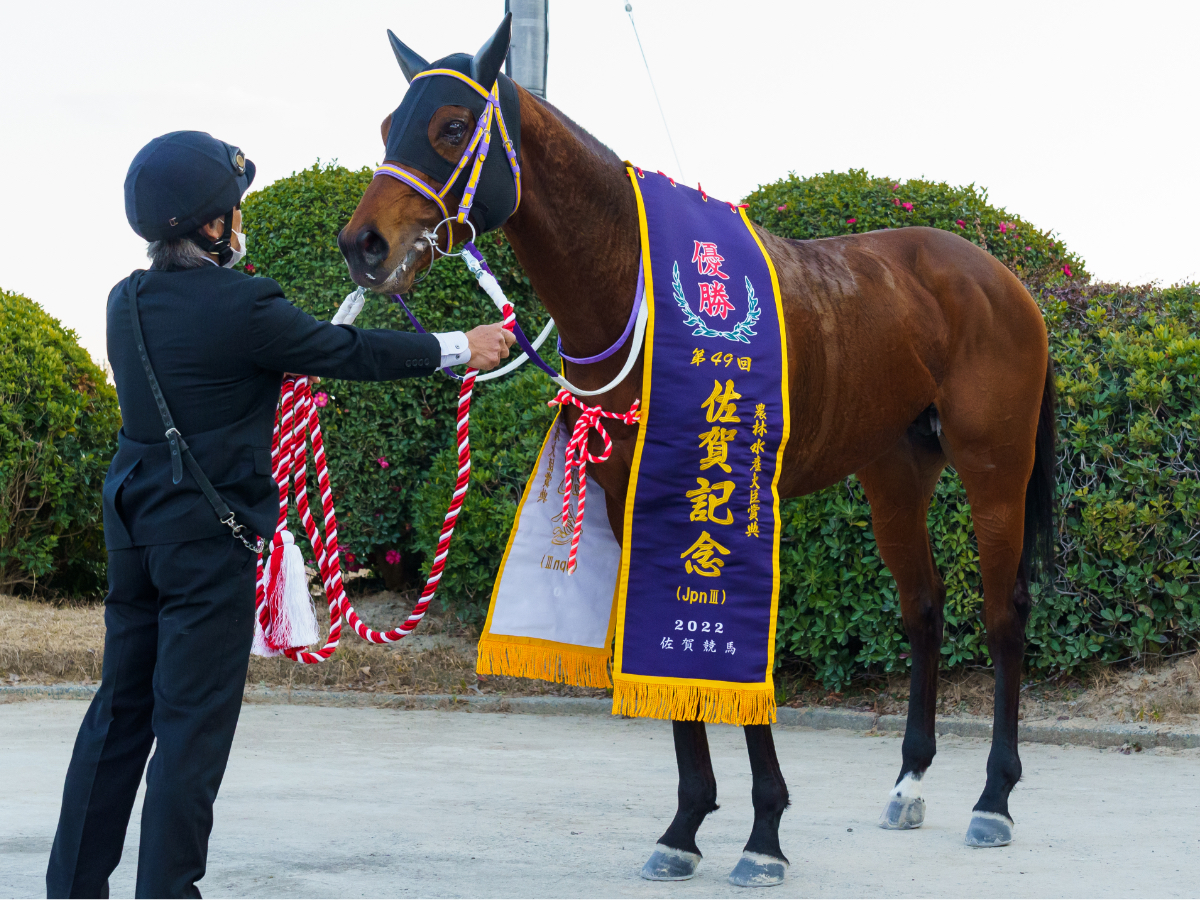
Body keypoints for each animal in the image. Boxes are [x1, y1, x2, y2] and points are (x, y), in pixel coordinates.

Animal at [336, 14, 1051, 888]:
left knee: (1004, 614)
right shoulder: (631, 498)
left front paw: (763, 833)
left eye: (449, 126)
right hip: (893, 472)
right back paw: (909, 781)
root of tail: (999, 279)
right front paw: (684, 826)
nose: (364, 245)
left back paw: (994, 799)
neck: (636, 290)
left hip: (995, 470)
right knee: (924, 606)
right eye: (387, 127)